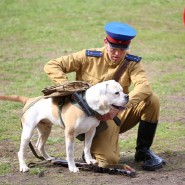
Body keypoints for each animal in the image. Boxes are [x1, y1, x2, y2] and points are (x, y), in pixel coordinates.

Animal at [0, 80, 129, 173]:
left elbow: (87, 148)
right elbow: (70, 152)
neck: (87, 104)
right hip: (28, 132)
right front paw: (72, 167)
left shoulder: (91, 131)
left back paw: (49, 158)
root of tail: (29, 99)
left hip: (46, 130)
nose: (127, 96)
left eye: (122, 91)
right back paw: (23, 166)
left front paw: (89, 160)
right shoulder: (70, 134)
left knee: (39, 145)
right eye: (116, 93)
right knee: (21, 151)